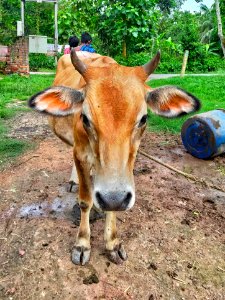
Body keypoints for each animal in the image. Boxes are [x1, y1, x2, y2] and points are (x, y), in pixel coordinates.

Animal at [28, 50, 200, 266]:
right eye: (85, 118)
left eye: (143, 118)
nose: (112, 197)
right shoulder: (80, 154)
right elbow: (85, 200)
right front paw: (82, 244)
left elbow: (111, 202)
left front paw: (112, 242)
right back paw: (74, 181)